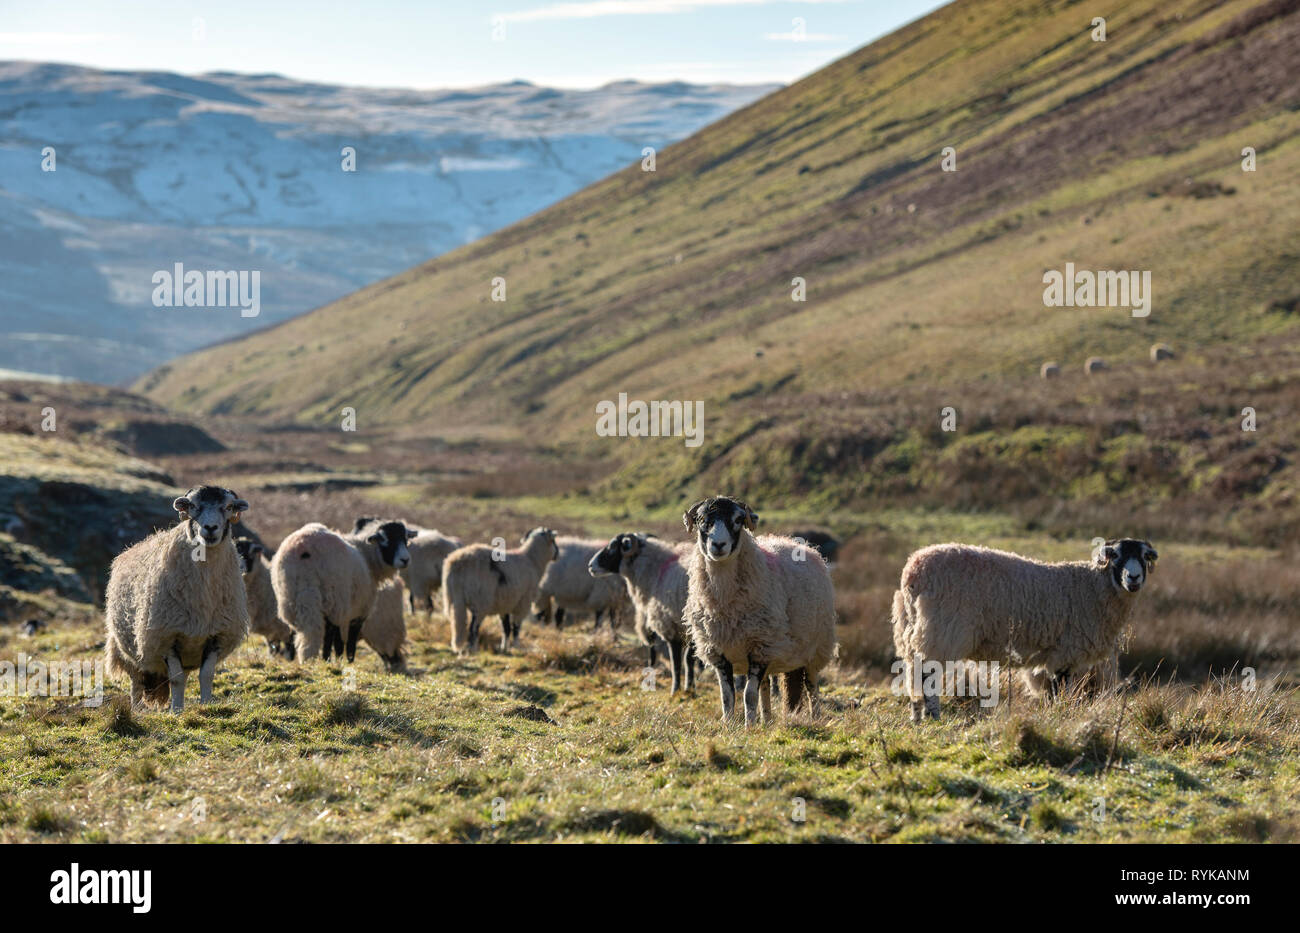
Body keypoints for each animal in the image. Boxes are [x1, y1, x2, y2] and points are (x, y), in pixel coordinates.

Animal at [104, 485, 250, 712]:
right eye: (192, 506)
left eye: (228, 507)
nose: (210, 528)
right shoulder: (166, 637)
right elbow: (177, 679)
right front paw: (177, 711)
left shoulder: (216, 635)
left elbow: (206, 676)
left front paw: (205, 706)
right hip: (129, 648)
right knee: (136, 680)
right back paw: (137, 708)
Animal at [271, 519, 413, 665]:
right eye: (384, 539)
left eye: (405, 538)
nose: (405, 560)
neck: (366, 556)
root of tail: (303, 549)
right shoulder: (357, 613)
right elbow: (347, 643)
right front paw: (347, 662)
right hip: (334, 599)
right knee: (329, 635)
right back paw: (325, 660)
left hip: (292, 599)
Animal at [592, 532, 702, 696]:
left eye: (612, 547)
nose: (590, 565)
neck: (655, 572)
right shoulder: (688, 629)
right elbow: (688, 659)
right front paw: (689, 688)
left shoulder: (671, 626)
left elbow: (677, 662)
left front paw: (676, 690)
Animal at [676, 501, 837, 727]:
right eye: (701, 520)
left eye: (737, 520)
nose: (718, 545)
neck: (725, 600)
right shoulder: (719, 651)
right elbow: (727, 696)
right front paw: (729, 725)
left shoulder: (760, 647)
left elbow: (748, 694)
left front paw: (748, 726)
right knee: (766, 686)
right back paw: (766, 720)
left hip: (815, 648)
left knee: (812, 685)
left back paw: (816, 717)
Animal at [894, 532, 1159, 722]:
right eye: (1115, 555)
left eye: (1144, 556)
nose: (1133, 578)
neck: (1092, 586)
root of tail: (913, 571)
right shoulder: (1065, 652)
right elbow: (1061, 689)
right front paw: (1061, 715)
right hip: (941, 629)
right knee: (927, 673)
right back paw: (933, 716)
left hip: (914, 627)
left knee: (914, 672)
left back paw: (918, 716)